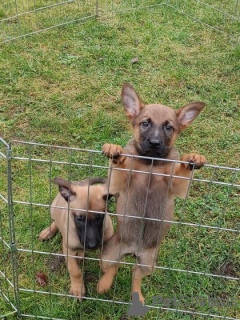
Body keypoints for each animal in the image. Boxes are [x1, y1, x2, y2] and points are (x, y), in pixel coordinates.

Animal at [97, 82, 206, 302]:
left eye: (169, 127)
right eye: (145, 123)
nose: (155, 143)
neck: (151, 163)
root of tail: (133, 252)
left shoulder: (176, 184)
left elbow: (183, 170)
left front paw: (193, 157)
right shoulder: (120, 181)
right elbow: (120, 163)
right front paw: (114, 149)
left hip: (148, 263)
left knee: (135, 275)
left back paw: (137, 296)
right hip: (108, 255)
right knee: (113, 267)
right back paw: (104, 285)